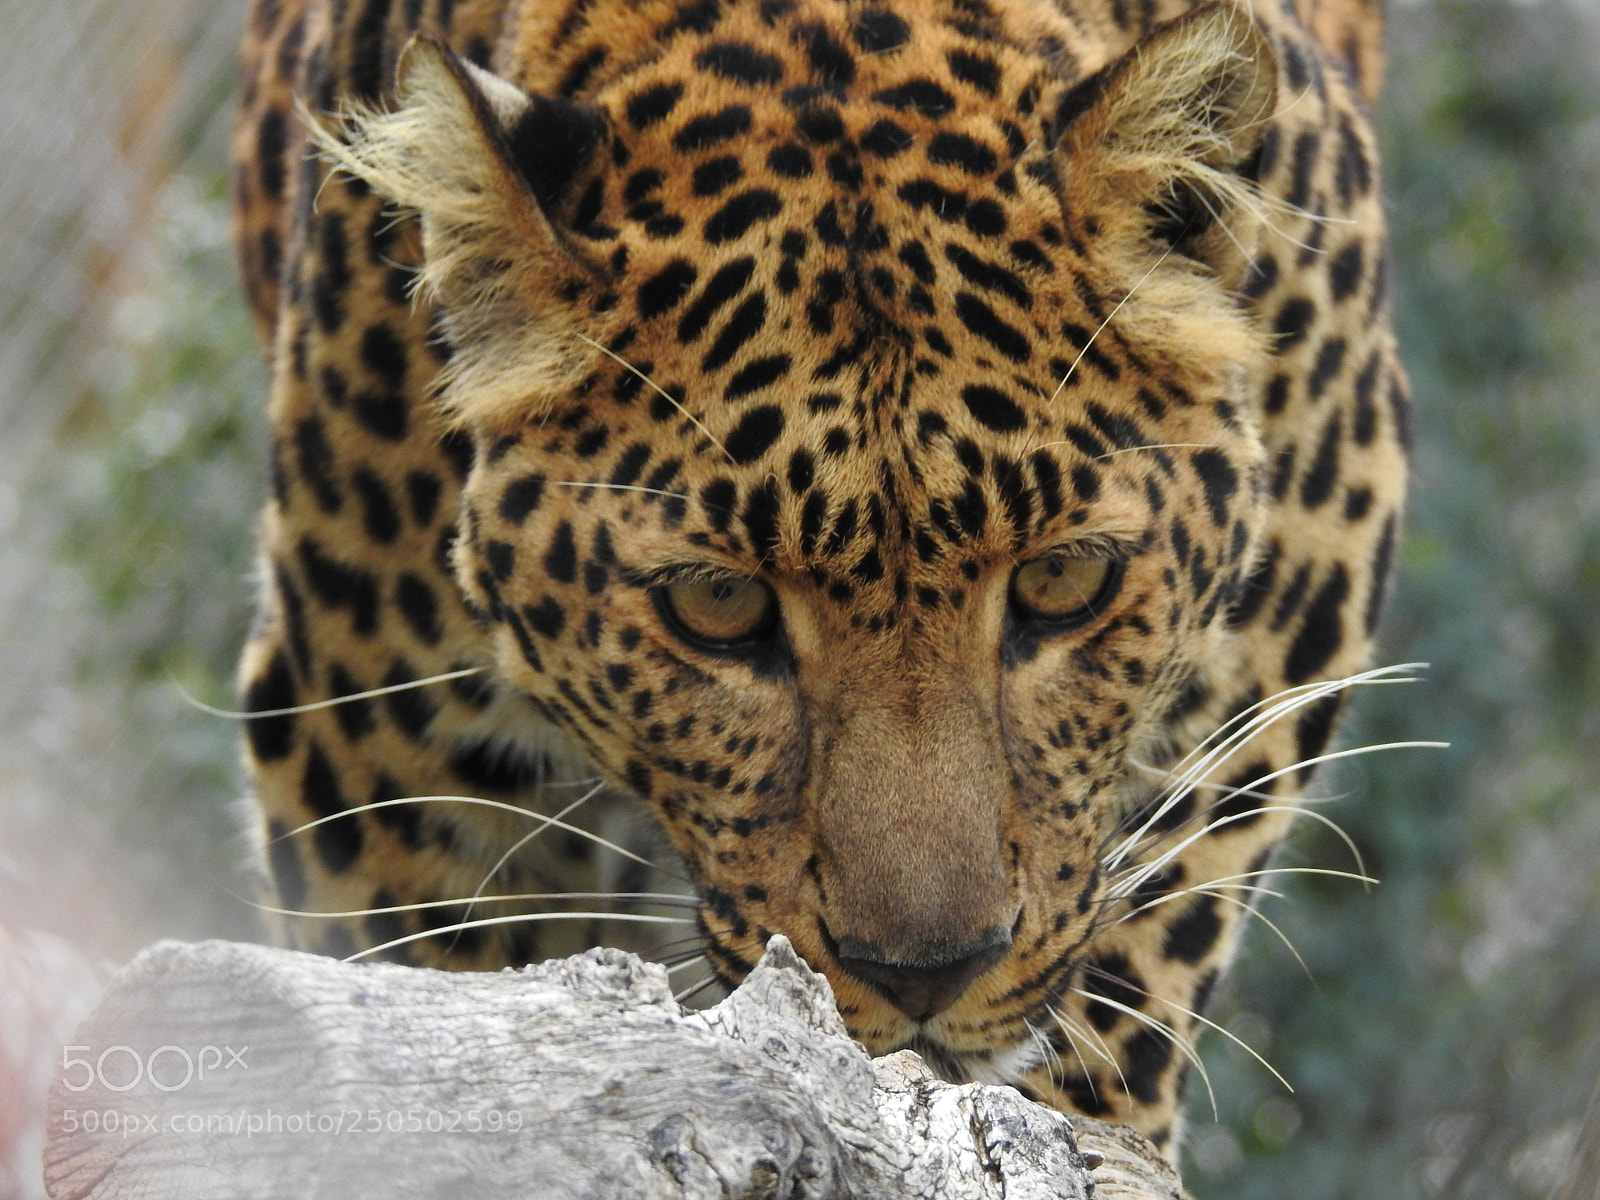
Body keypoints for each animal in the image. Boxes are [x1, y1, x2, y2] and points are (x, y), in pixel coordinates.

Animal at [229, 0, 1409, 1154]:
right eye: (717, 604)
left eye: (1064, 580)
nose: (927, 975)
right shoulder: (379, 750)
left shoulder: (1311, 566)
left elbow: (1148, 921)